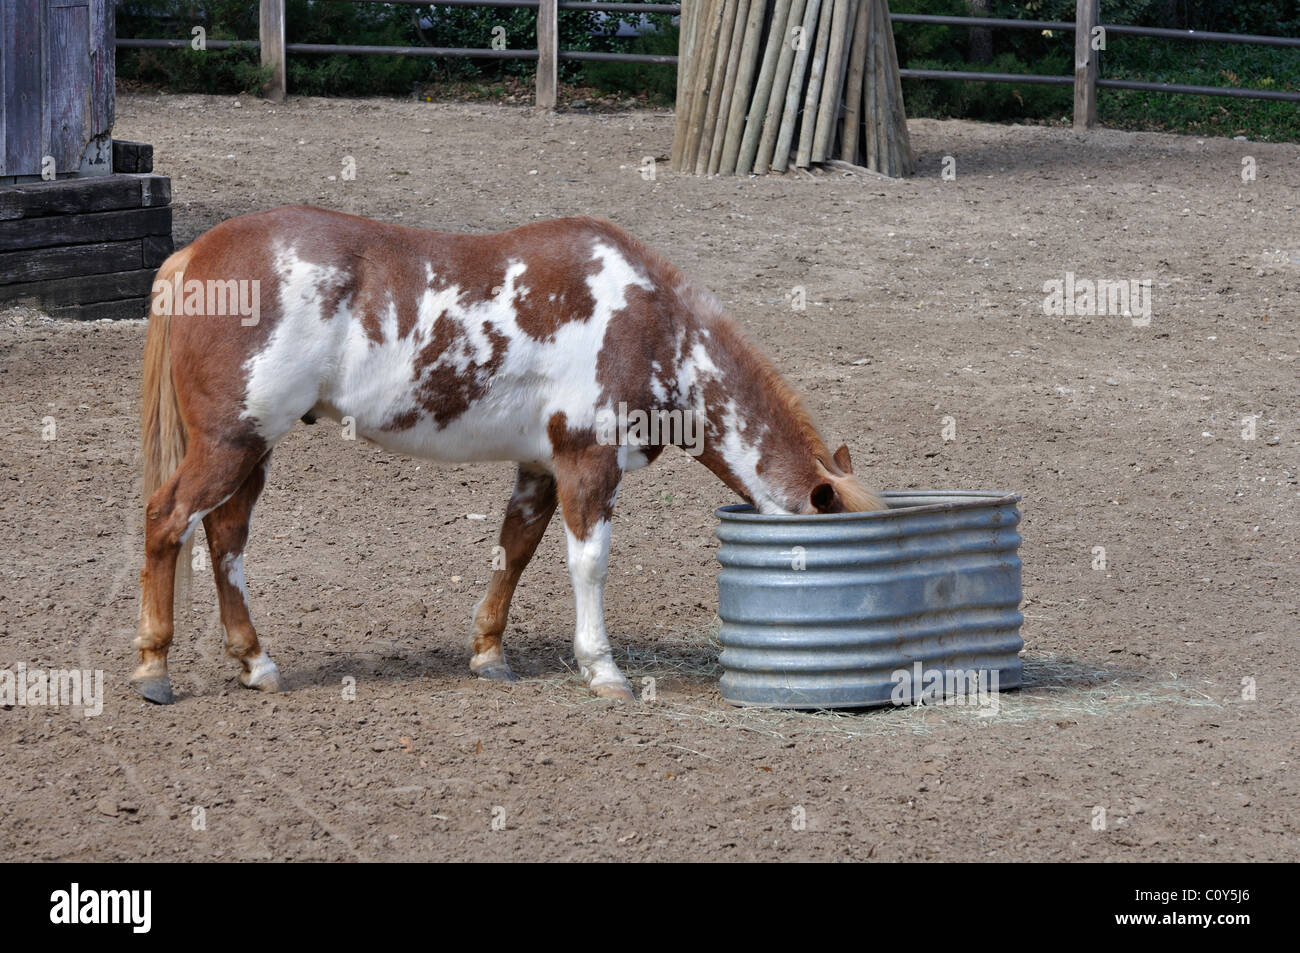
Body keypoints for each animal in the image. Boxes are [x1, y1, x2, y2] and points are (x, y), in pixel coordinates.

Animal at [135, 206, 883, 705]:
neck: (652, 326)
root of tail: (194, 255)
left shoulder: (541, 469)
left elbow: (512, 553)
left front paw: (489, 653)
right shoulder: (588, 464)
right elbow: (588, 564)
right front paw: (603, 669)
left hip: (252, 449)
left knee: (225, 540)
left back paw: (255, 662)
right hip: (231, 444)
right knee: (167, 521)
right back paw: (153, 669)